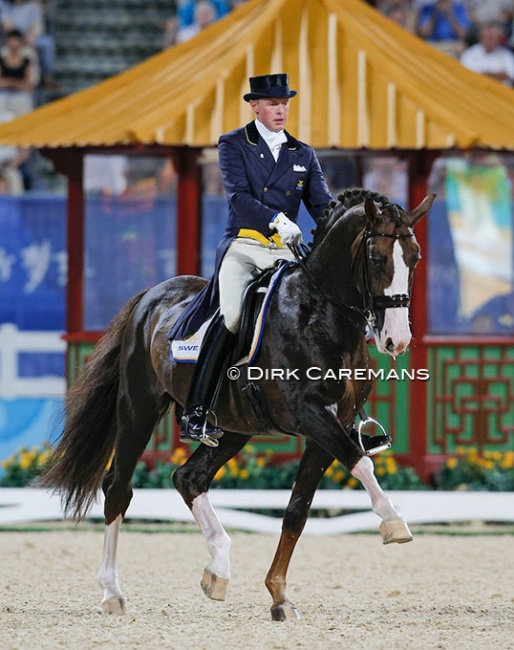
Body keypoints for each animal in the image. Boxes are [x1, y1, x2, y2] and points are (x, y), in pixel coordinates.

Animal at [41, 186, 432, 616]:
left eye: (414, 258)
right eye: (377, 258)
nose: (396, 340)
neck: (320, 314)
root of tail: (151, 296)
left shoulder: (330, 427)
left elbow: (298, 509)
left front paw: (279, 595)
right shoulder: (311, 415)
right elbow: (360, 461)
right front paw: (394, 522)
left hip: (232, 427)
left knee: (189, 478)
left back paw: (218, 568)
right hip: (138, 408)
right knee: (118, 488)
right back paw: (113, 593)